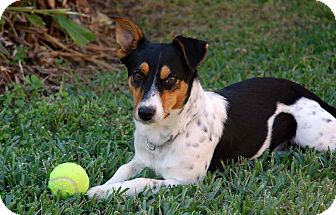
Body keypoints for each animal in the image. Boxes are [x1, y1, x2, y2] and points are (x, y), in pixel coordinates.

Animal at [87, 17, 336, 199]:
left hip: (317, 138)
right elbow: (123, 170)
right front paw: (103, 187)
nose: (145, 113)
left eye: (171, 79)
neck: (168, 133)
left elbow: (143, 181)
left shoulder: (184, 182)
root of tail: (307, 92)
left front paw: (104, 191)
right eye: (137, 76)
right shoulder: (140, 160)